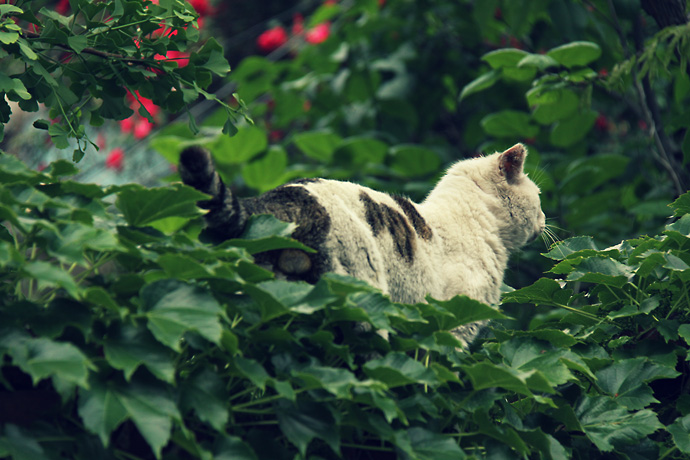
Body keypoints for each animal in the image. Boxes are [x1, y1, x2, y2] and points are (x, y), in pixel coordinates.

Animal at [180, 142, 544, 346]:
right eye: (538, 198)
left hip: (265, 295)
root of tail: (275, 197)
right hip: (361, 295)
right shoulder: (456, 320)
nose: (544, 219)